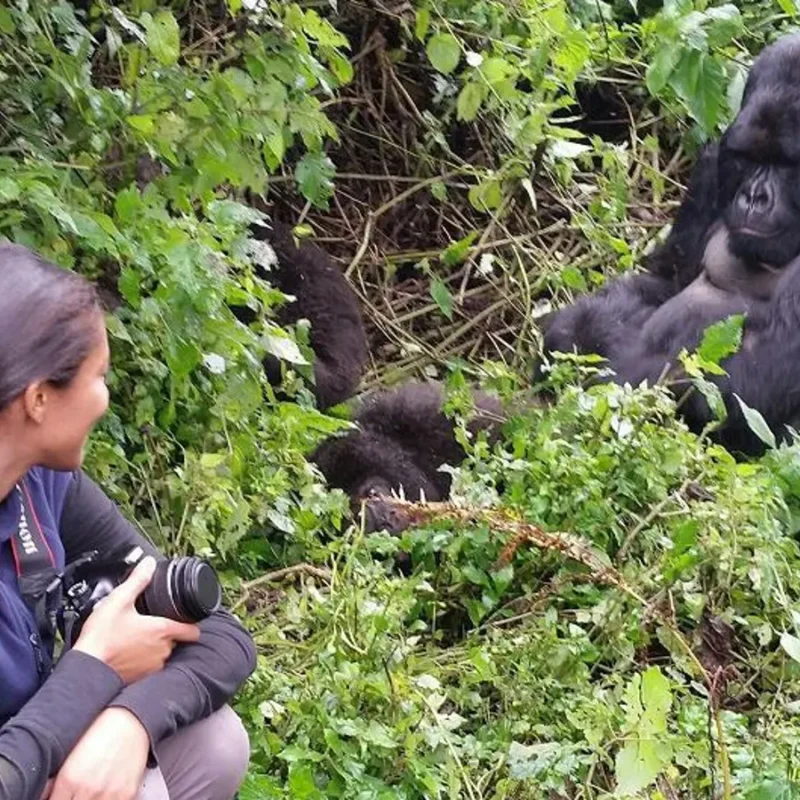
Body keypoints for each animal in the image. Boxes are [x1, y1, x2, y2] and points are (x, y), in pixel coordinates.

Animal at [544, 32, 800, 456]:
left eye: (788, 166)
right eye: (747, 158)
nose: (754, 197)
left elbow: (755, 378)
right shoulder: (711, 166)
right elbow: (667, 279)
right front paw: (575, 331)